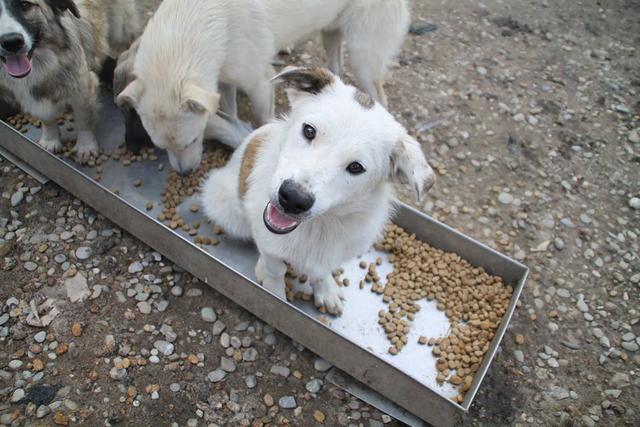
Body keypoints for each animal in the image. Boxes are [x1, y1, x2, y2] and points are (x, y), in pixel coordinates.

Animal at [0, 0, 152, 162]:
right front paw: (50, 139)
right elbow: (46, 117)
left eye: (24, 5)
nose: (11, 42)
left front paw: (86, 147)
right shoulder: (30, 95)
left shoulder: (83, 89)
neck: (42, 63)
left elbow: (84, 120)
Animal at [117, 0, 408, 176]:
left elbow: (262, 121)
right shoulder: (224, 81)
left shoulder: (260, 84)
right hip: (331, 34)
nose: (184, 174)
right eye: (158, 145)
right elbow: (229, 112)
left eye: (194, 140)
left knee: (379, 96)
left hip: (362, 57)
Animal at [202, 67, 432, 314]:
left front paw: (326, 289)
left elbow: (320, 272)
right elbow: (276, 269)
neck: (318, 226)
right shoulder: (269, 243)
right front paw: (274, 295)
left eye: (356, 167)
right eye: (309, 130)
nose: (292, 198)